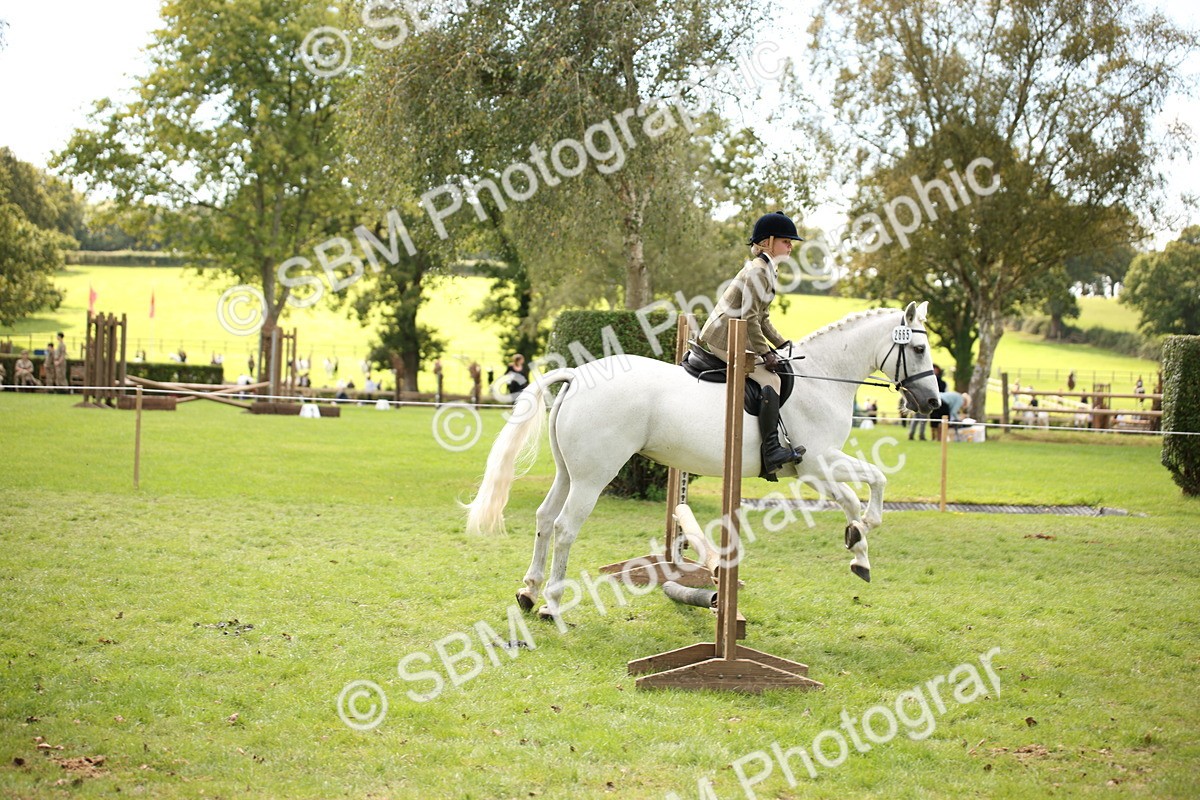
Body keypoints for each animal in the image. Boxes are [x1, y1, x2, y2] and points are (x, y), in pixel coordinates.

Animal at [466, 301, 942, 619]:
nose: (933, 404)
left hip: (569, 471)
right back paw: (552, 603)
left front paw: (858, 549)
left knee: (545, 519)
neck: (823, 379)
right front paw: (865, 533)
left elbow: (855, 494)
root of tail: (579, 375)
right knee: (565, 527)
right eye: (919, 351)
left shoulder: (815, 468)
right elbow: (871, 484)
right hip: (593, 476)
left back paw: (529, 592)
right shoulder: (816, 463)